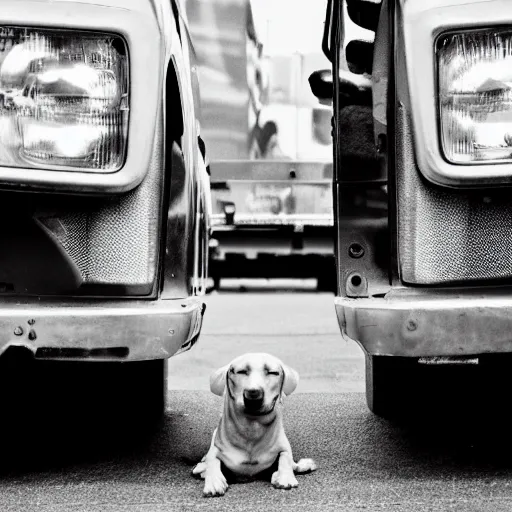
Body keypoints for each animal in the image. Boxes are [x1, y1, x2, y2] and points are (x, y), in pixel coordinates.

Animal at [192, 352, 316, 496]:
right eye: (241, 372)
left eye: (273, 373)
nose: (253, 394)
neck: (252, 428)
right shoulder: (216, 448)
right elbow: (213, 460)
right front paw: (213, 480)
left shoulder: (283, 446)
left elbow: (285, 456)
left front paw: (284, 476)